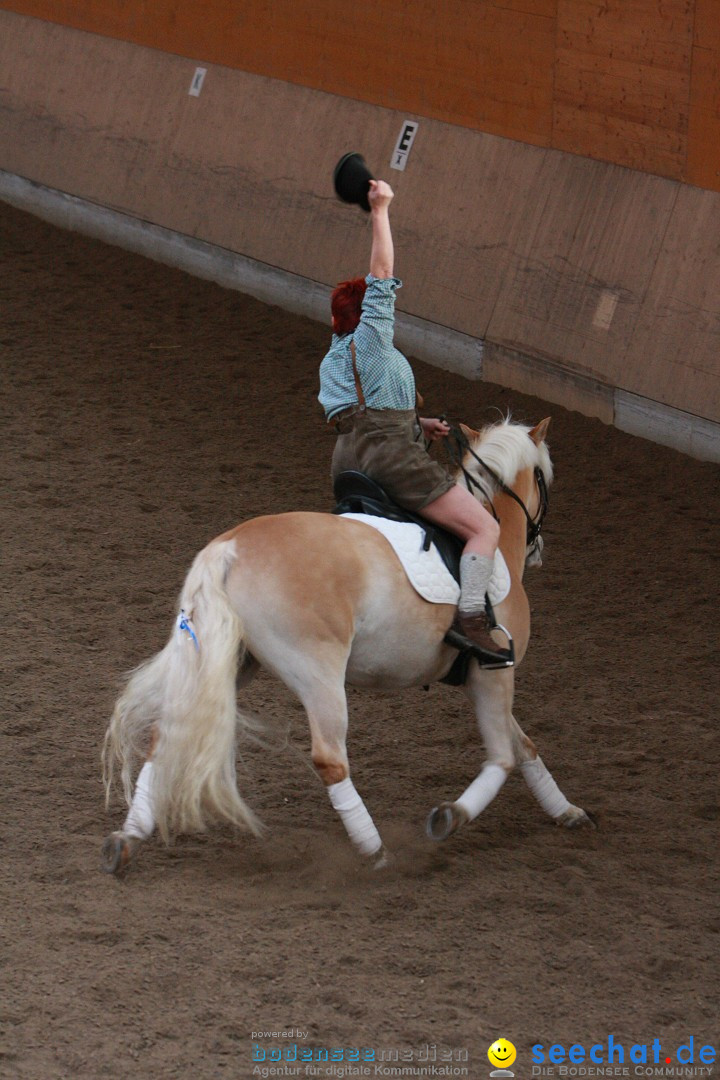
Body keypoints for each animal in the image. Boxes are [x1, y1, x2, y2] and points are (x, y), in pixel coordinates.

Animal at [102, 416, 595, 872]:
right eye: (545, 478)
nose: (538, 548)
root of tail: (229, 547)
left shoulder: (484, 677)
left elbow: (523, 745)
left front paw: (566, 810)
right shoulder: (494, 671)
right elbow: (503, 756)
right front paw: (451, 816)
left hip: (232, 662)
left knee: (165, 734)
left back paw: (127, 838)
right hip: (318, 673)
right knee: (331, 759)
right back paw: (374, 849)